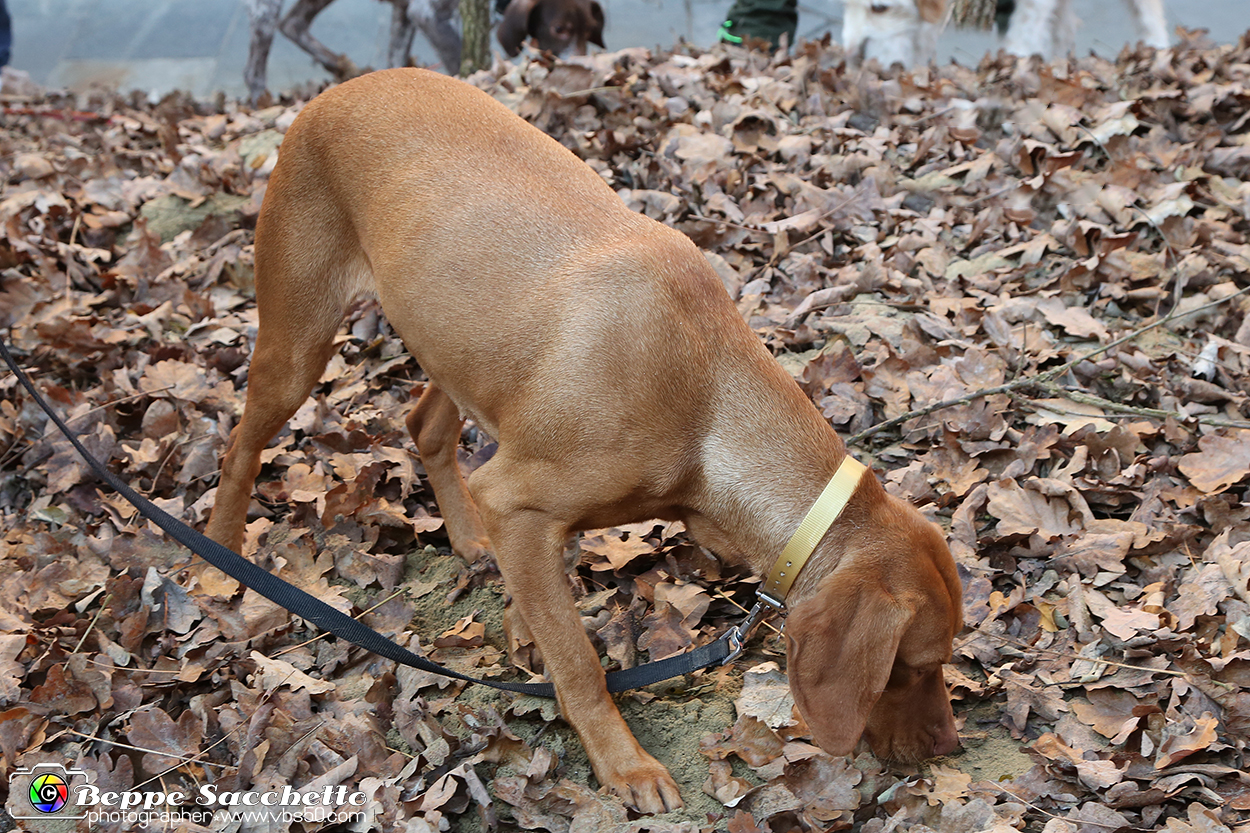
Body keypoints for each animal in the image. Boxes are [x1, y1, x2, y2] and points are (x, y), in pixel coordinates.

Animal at [207, 71, 965, 810]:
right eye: (910, 667)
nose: (949, 747)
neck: (705, 398)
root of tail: (334, 91)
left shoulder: (519, 500)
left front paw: (522, 625)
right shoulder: (515, 497)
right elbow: (579, 661)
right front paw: (624, 763)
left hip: (462, 349)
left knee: (425, 427)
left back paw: (466, 538)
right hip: (299, 341)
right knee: (239, 444)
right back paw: (217, 559)